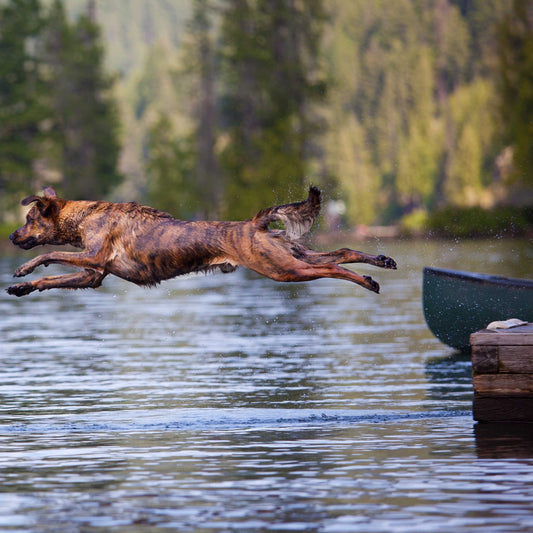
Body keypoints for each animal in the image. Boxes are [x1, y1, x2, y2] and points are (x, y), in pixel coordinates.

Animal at [7, 186, 394, 296]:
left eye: (28, 220)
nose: (11, 236)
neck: (83, 217)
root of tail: (255, 223)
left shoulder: (94, 258)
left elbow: (50, 256)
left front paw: (23, 269)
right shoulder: (93, 276)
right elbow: (51, 278)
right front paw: (23, 288)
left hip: (282, 269)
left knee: (333, 267)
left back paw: (369, 281)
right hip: (291, 254)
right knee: (342, 251)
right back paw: (381, 264)